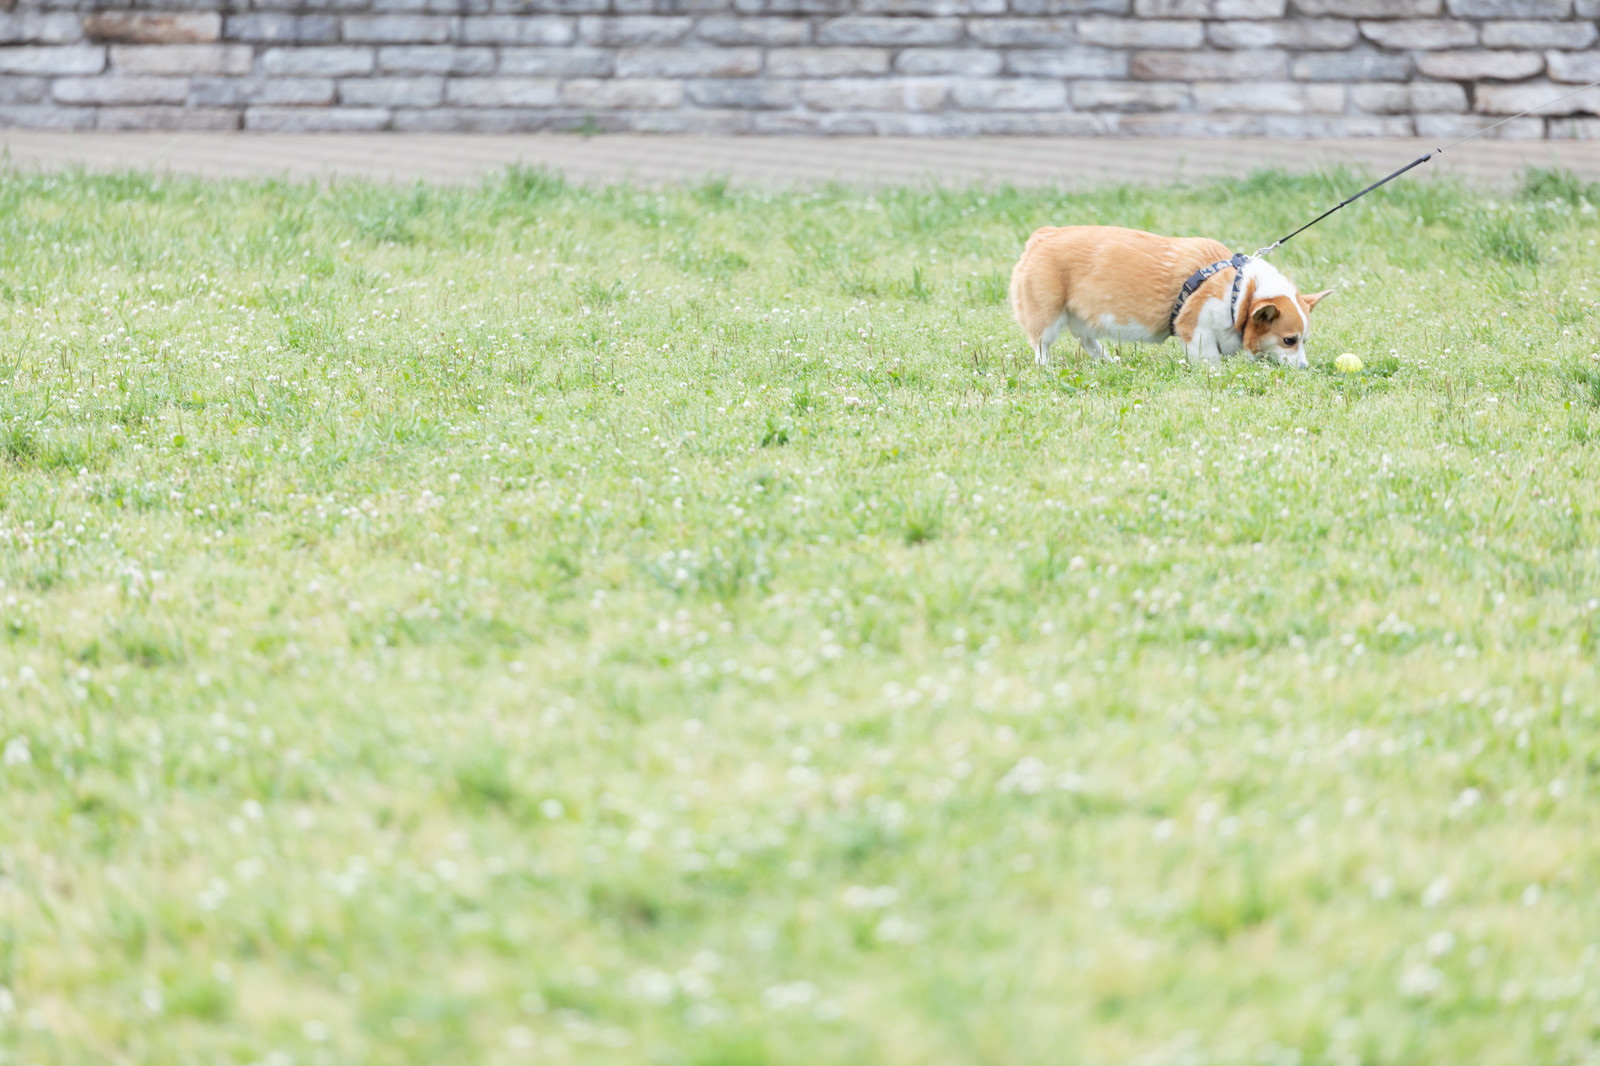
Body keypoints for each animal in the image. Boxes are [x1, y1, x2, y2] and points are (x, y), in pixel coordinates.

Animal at [1004, 225, 1331, 369]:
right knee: (1042, 345)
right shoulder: (1197, 331)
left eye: (1303, 340)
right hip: (1047, 316)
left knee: (1087, 340)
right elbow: (1210, 358)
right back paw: (1046, 368)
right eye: (1289, 340)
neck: (1240, 293)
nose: (1304, 368)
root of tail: (1041, 236)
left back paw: (1110, 360)